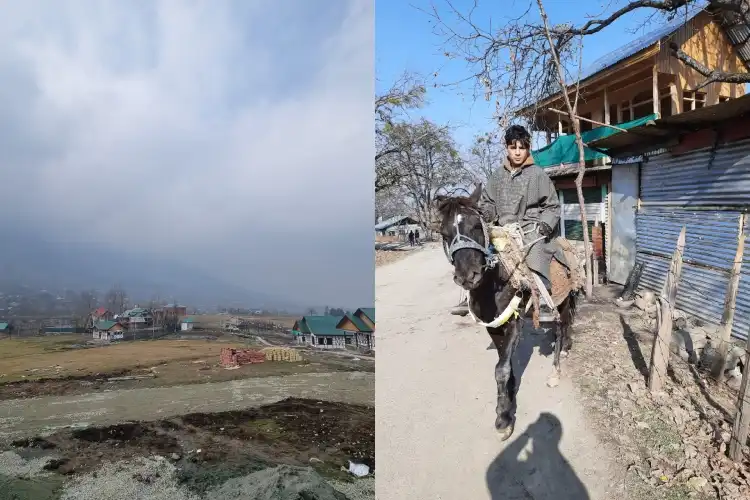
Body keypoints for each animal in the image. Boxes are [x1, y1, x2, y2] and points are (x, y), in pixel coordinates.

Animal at [434, 185, 580, 442]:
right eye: (444, 233)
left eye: (476, 225)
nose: (467, 276)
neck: (496, 281)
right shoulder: (494, 326)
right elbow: (503, 362)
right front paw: (509, 394)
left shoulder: (513, 323)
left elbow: (501, 369)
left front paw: (503, 418)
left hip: (560, 302)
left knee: (561, 327)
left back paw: (556, 368)